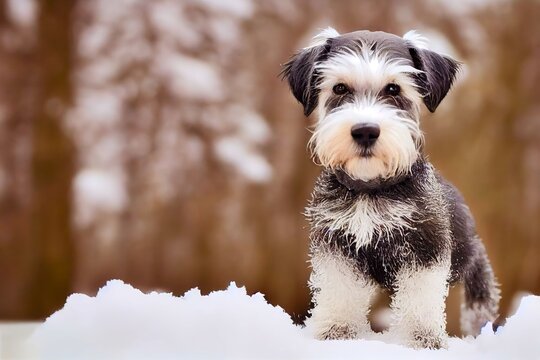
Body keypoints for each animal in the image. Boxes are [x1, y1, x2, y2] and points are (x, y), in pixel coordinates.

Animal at [280, 29, 500, 350]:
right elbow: (339, 291)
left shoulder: (425, 246)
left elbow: (421, 298)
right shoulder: (335, 246)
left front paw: (422, 340)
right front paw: (337, 331)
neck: (369, 189)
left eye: (394, 89)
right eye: (340, 88)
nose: (365, 130)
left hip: (470, 256)